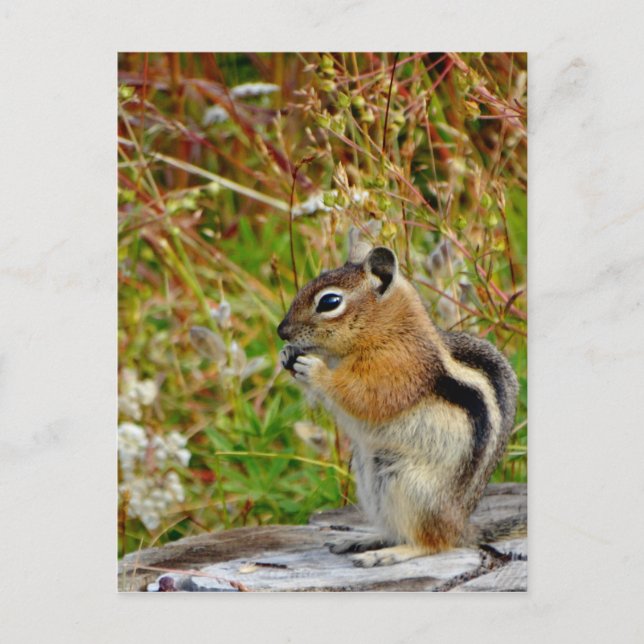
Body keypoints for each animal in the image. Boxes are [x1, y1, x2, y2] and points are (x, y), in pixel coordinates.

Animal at [278, 244, 521, 567]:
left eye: (329, 302)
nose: (281, 331)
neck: (388, 329)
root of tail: (459, 526)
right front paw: (286, 354)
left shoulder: (397, 367)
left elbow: (362, 396)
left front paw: (315, 370)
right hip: (371, 482)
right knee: (397, 530)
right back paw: (364, 540)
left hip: (409, 485)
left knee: (433, 543)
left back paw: (389, 553)